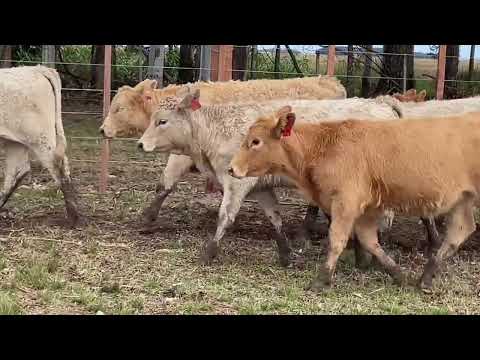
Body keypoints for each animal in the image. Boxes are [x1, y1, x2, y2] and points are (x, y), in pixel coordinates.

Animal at [229, 107, 480, 292]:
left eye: (256, 141)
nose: (231, 168)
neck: (323, 147)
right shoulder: (366, 209)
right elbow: (370, 241)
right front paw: (398, 274)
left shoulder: (346, 202)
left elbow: (336, 239)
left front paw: (321, 281)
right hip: (463, 199)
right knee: (460, 230)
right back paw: (426, 277)